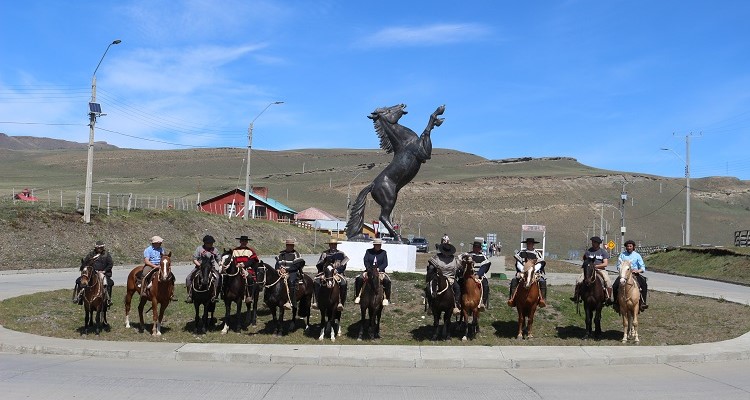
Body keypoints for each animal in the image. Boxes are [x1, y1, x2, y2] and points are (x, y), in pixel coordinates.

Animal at [348, 104, 446, 241]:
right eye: (388, 110)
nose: (402, 104)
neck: (405, 142)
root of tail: (372, 185)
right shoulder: (424, 153)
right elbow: (427, 128)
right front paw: (439, 111)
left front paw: (439, 120)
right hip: (389, 200)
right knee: (383, 217)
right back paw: (398, 237)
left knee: (385, 217)